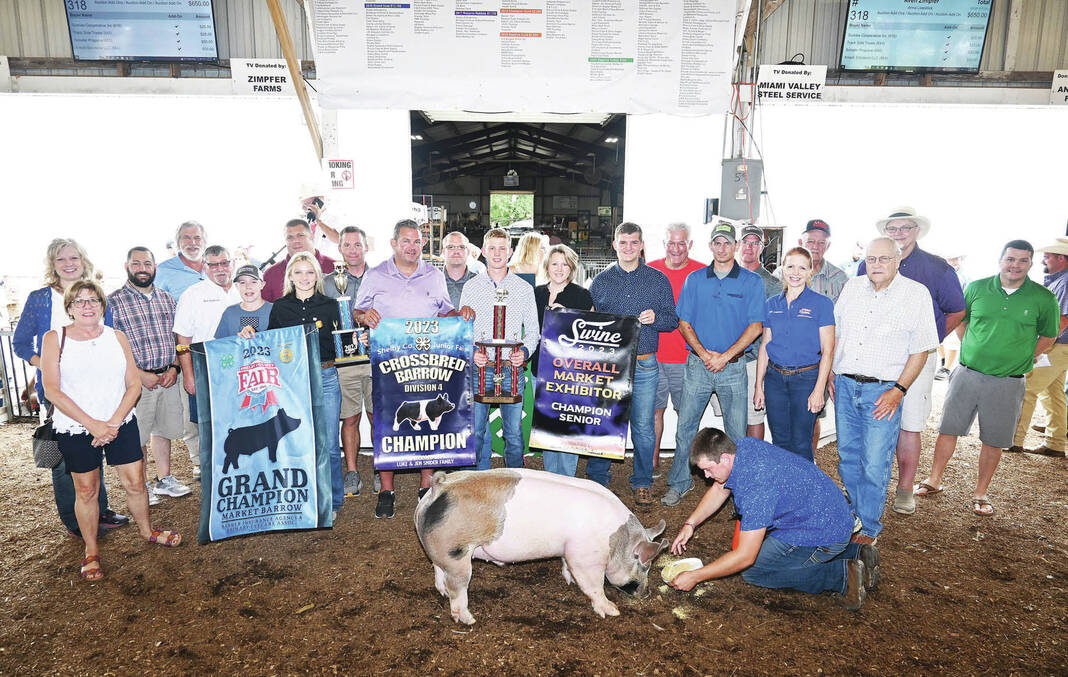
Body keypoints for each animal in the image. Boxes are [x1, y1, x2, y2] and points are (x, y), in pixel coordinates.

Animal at [412, 469, 662, 623]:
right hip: (457, 552)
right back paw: (469, 619)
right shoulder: (586, 556)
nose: (646, 593)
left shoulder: (569, 550)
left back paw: (443, 592)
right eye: (644, 566)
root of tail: (439, 487)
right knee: (457, 587)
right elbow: (593, 585)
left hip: (444, 551)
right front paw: (612, 611)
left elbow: (566, 565)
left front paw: (569, 580)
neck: (616, 540)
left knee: (437, 569)